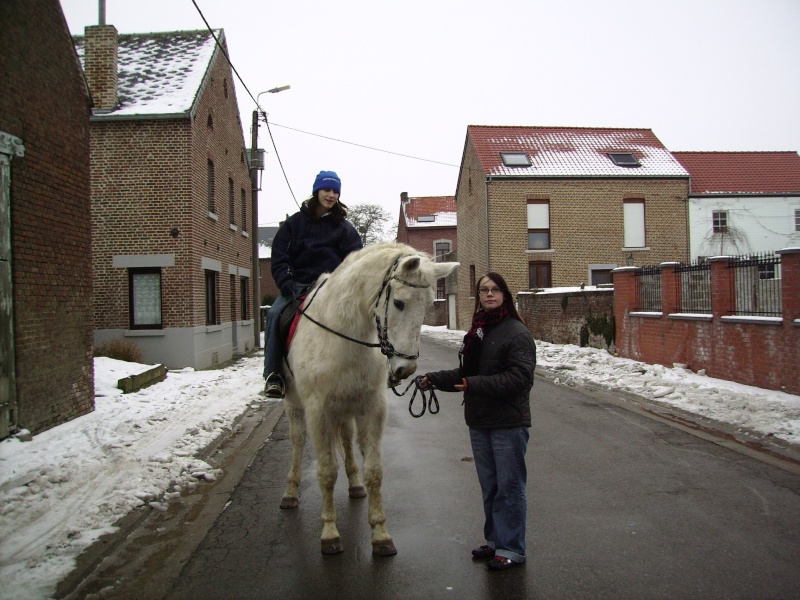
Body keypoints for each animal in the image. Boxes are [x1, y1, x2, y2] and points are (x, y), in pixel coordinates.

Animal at [280, 241, 456, 556]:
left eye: (427, 306)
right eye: (398, 302)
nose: (405, 369)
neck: (344, 337)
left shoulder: (370, 409)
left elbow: (374, 471)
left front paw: (381, 534)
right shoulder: (318, 412)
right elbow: (327, 471)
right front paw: (329, 533)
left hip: (345, 410)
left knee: (347, 441)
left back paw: (355, 485)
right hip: (295, 405)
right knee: (298, 441)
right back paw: (290, 492)